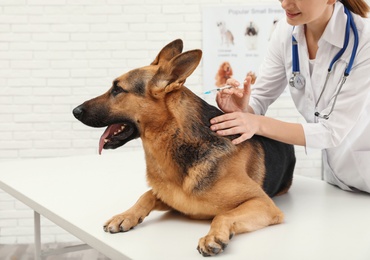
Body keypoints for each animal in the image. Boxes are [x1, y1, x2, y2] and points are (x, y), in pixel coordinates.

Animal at [73, 38, 296, 256]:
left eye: (117, 89)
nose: (75, 111)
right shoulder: (173, 198)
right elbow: (146, 195)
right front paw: (125, 216)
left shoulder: (262, 203)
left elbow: (223, 215)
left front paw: (213, 237)